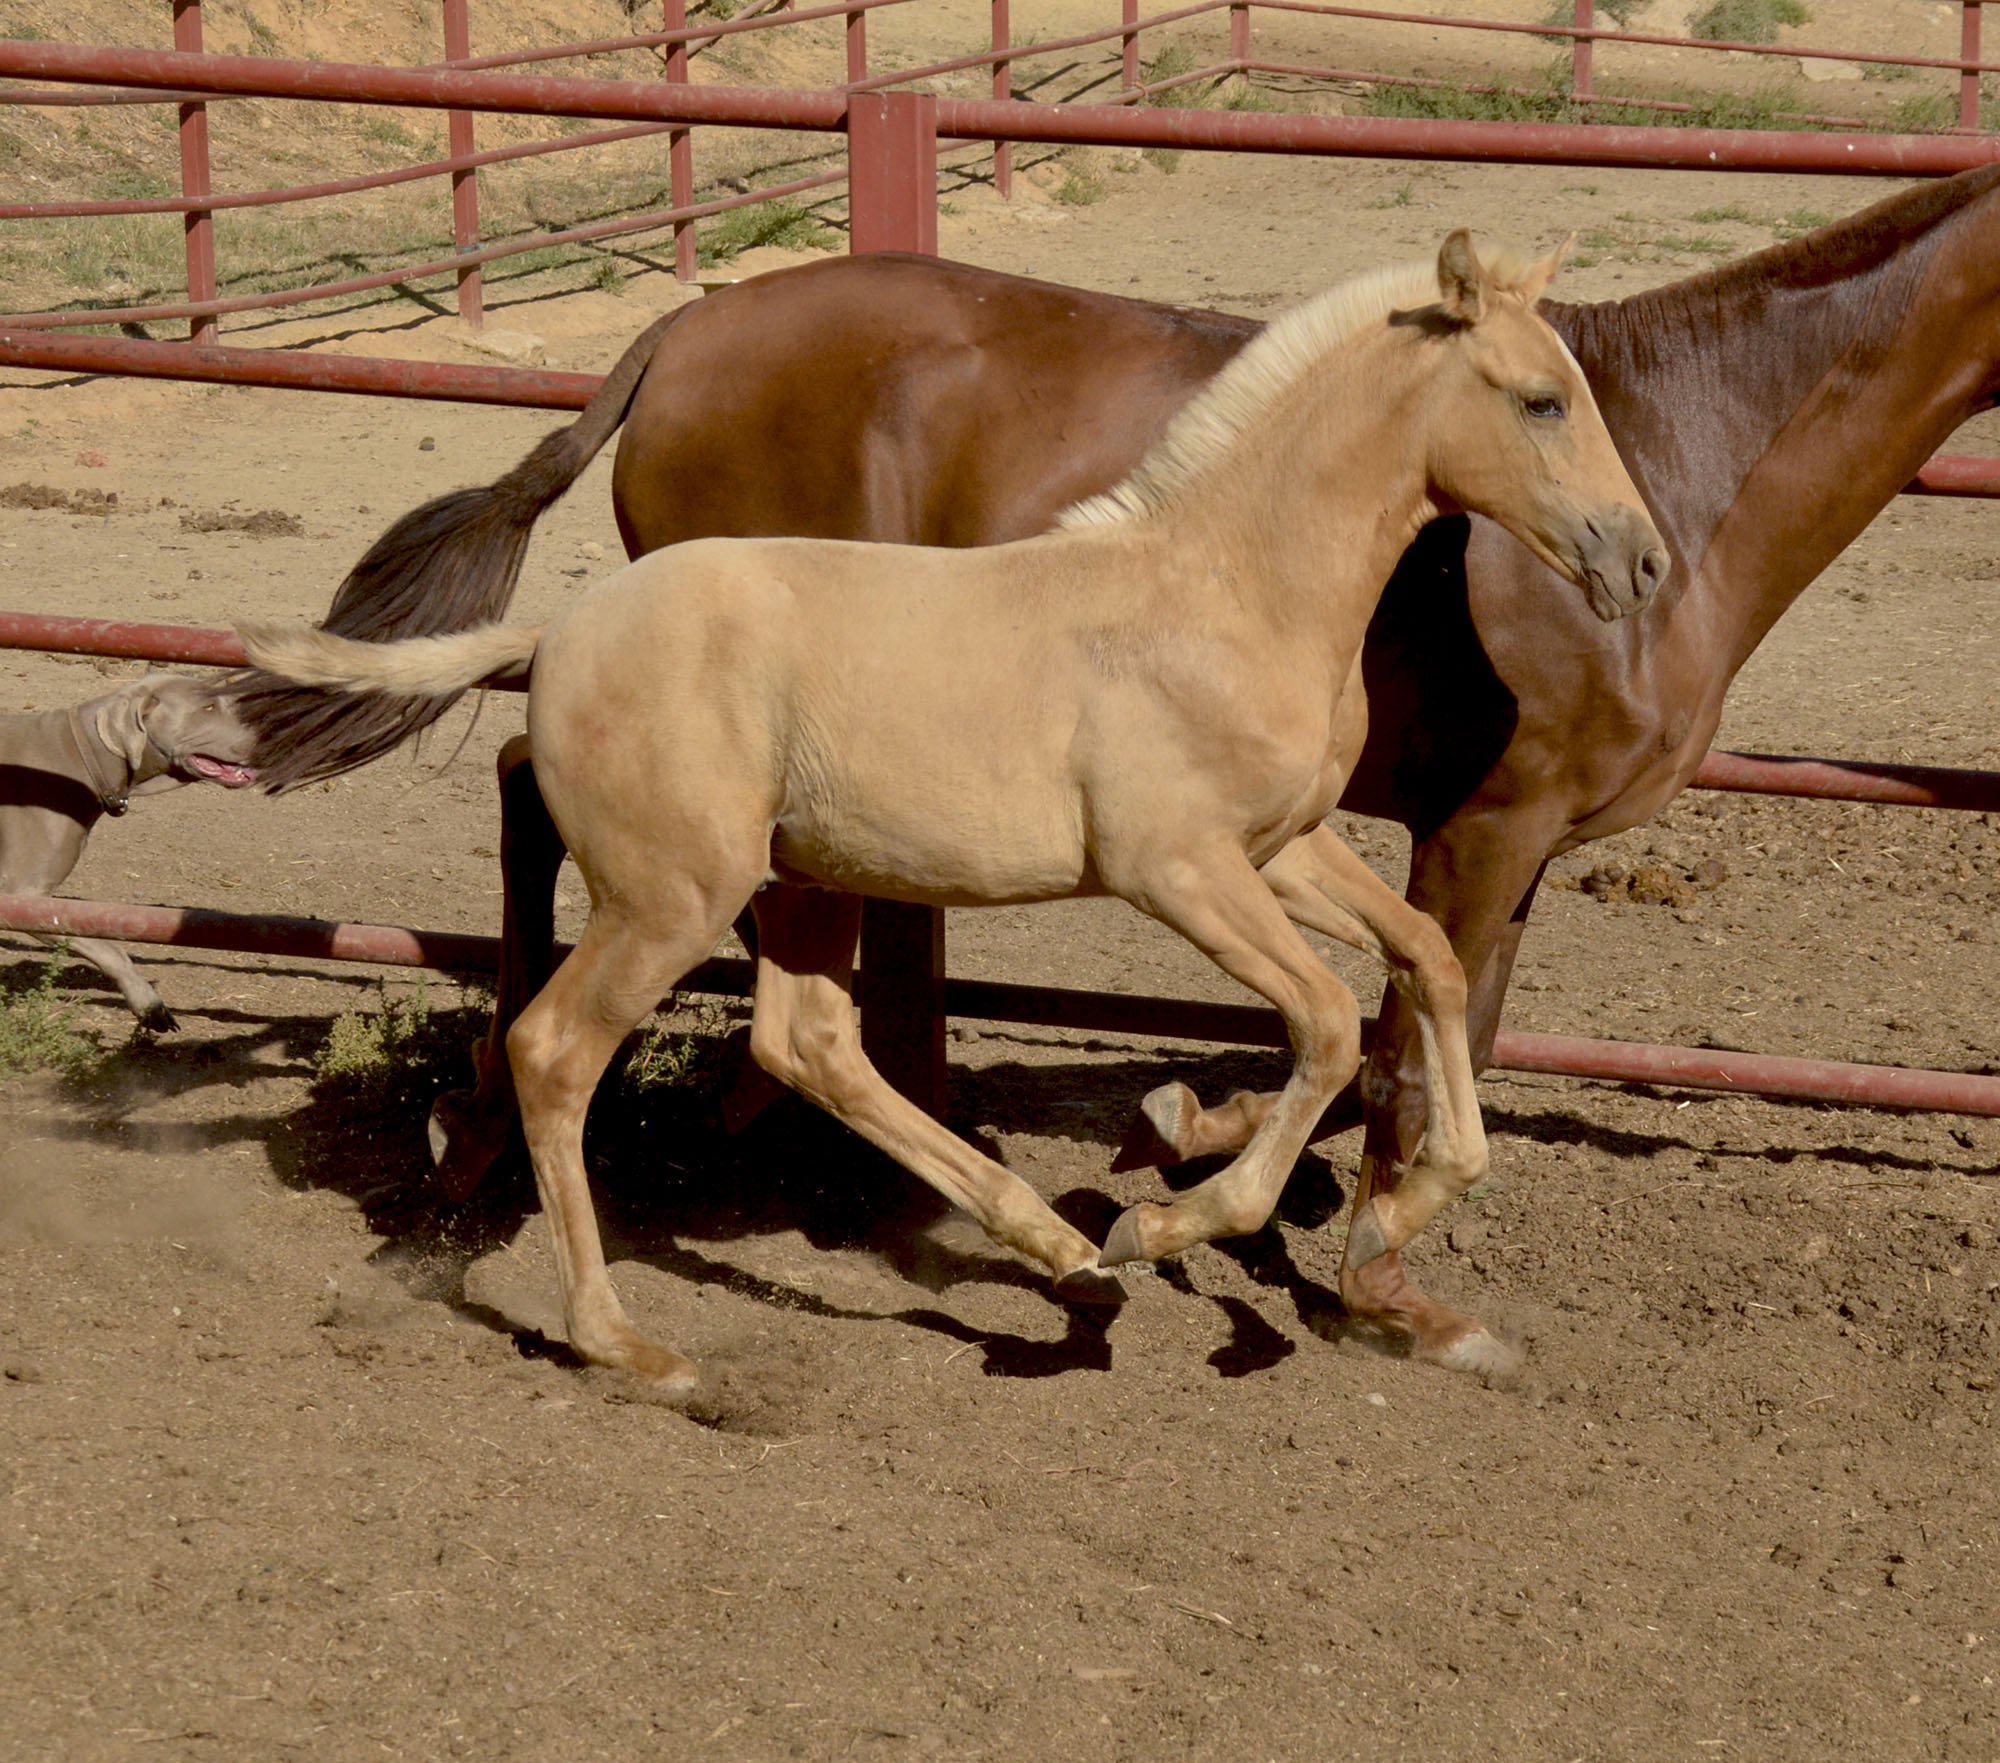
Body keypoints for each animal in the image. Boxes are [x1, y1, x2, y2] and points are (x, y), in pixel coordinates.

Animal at [0, 671, 260, 1031]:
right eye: (208, 707)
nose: (269, 739)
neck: (84, 759)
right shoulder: (24, 895)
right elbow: (108, 947)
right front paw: (149, 1004)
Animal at [242, 229, 1664, 1391]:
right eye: (1540, 399)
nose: (1640, 559)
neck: (1222, 589)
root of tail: (555, 637)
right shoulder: (1177, 866)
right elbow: (1318, 1019)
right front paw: (1167, 1219)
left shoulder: (1282, 847)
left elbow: (1425, 960)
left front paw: (1409, 1202)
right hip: (670, 897)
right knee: (558, 1050)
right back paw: (640, 1350)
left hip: (799, 878)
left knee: (805, 1039)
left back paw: (1051, 1250)